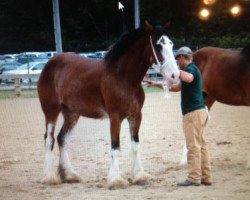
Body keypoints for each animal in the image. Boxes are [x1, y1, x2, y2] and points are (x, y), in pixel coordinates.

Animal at [37, 21, 180, 189]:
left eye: (171, 44)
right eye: (158, 45)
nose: (175, 75)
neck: (123, 76)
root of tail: (50, 64)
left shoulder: (136, 115)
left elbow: (135, 146)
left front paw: (139, 176)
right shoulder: (115, 117)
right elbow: (115, 146)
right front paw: (116, 179)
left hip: (72, 114)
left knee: (62, 139)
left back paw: (70, 175)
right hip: (51, 110)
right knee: (49, 139)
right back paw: (49, 177)